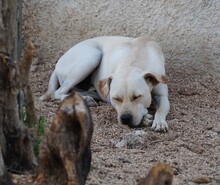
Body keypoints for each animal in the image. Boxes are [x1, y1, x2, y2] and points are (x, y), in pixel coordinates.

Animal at [40, 36, 169, 132]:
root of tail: (57, 64)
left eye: (137, 97)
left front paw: (160, 122)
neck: (137, 57)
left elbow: (162, 109)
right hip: (92, 56)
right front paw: (144, 119)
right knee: (58, 92)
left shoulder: (162, 96)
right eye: (116, 98)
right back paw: (85, 99)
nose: (125, 118)